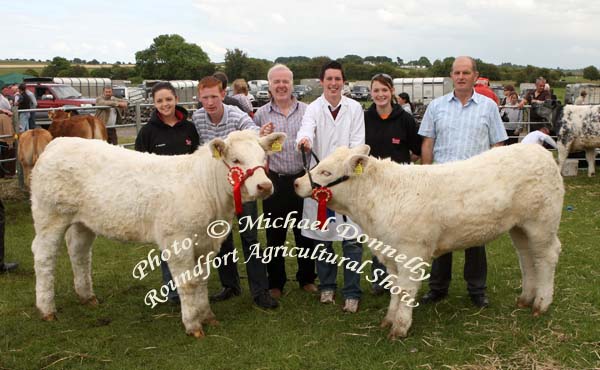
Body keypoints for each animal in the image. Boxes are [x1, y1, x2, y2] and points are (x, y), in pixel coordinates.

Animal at [31, 130, 286, 338]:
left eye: (263, 158)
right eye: (236, 160)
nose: (264, 186)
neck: (204, 189)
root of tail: (57, 143)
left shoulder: (206, 244)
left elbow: (202, 281)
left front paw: (207, 316)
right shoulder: (178, 241)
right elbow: (189, 283)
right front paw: (193, 325)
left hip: (83, 221)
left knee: (79, 252)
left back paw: (87, 297)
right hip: (50, 216)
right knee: (44, 257)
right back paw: (46, 309)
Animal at [292, 143, 564, 340]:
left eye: (326, 171)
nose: (296, 183)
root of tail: (537, 149)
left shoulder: (411, 252)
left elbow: (406, 290)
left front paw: (400, 328)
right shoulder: (391, 254)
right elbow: (395, 288)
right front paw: (389, 320)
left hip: (542, 223)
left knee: (546, 257)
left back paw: (541, 303)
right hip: (519, 227)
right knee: (527, 258)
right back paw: (526, 298)